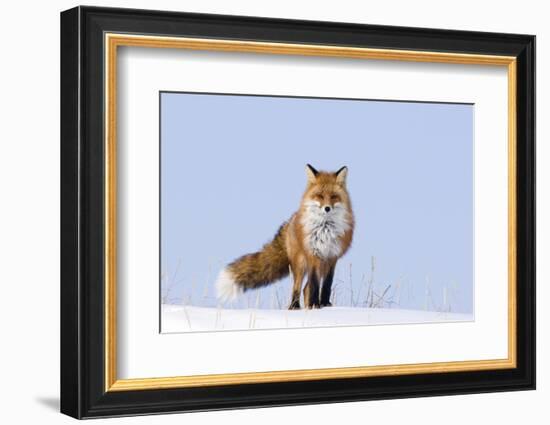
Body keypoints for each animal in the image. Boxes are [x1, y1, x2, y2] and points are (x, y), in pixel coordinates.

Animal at [216, 165, 354, 308]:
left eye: (334, 197)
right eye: (320, 196)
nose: (327, 208)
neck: (325, 230)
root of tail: (290, 220)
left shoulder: (332, 256)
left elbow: (327, 284)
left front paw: (325, 305)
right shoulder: (313, 255)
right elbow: (315, 284)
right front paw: (315, 305)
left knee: (305, 289)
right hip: (300, 263)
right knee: (298, 287)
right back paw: (295, 307)